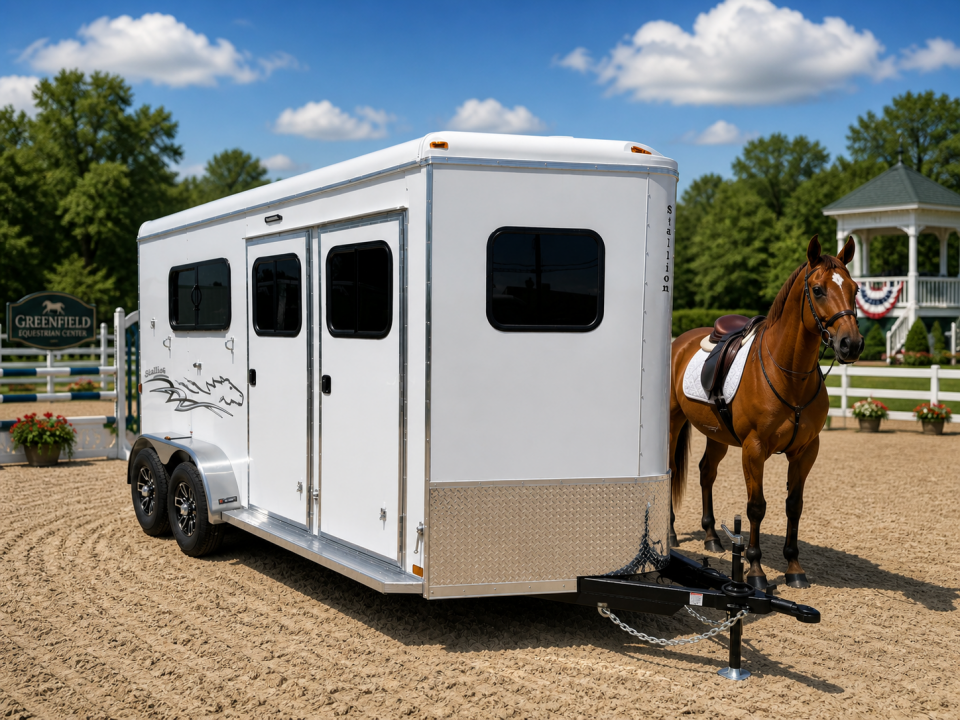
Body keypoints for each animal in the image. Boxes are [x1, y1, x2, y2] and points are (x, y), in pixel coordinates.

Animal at [669, 235, 863, 590]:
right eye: (818, 289)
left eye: (855, 289)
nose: (851, 344)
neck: (790, 375)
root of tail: (680, 341)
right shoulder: (754, 449)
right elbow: (756, 508)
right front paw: (756, 571)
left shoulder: (805, 451)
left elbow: (794, 506)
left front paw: (794, 568)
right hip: (673, 423)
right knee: (673, 471)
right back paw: (673, 533)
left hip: (717, 434)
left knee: (706, 472)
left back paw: (711, 537)